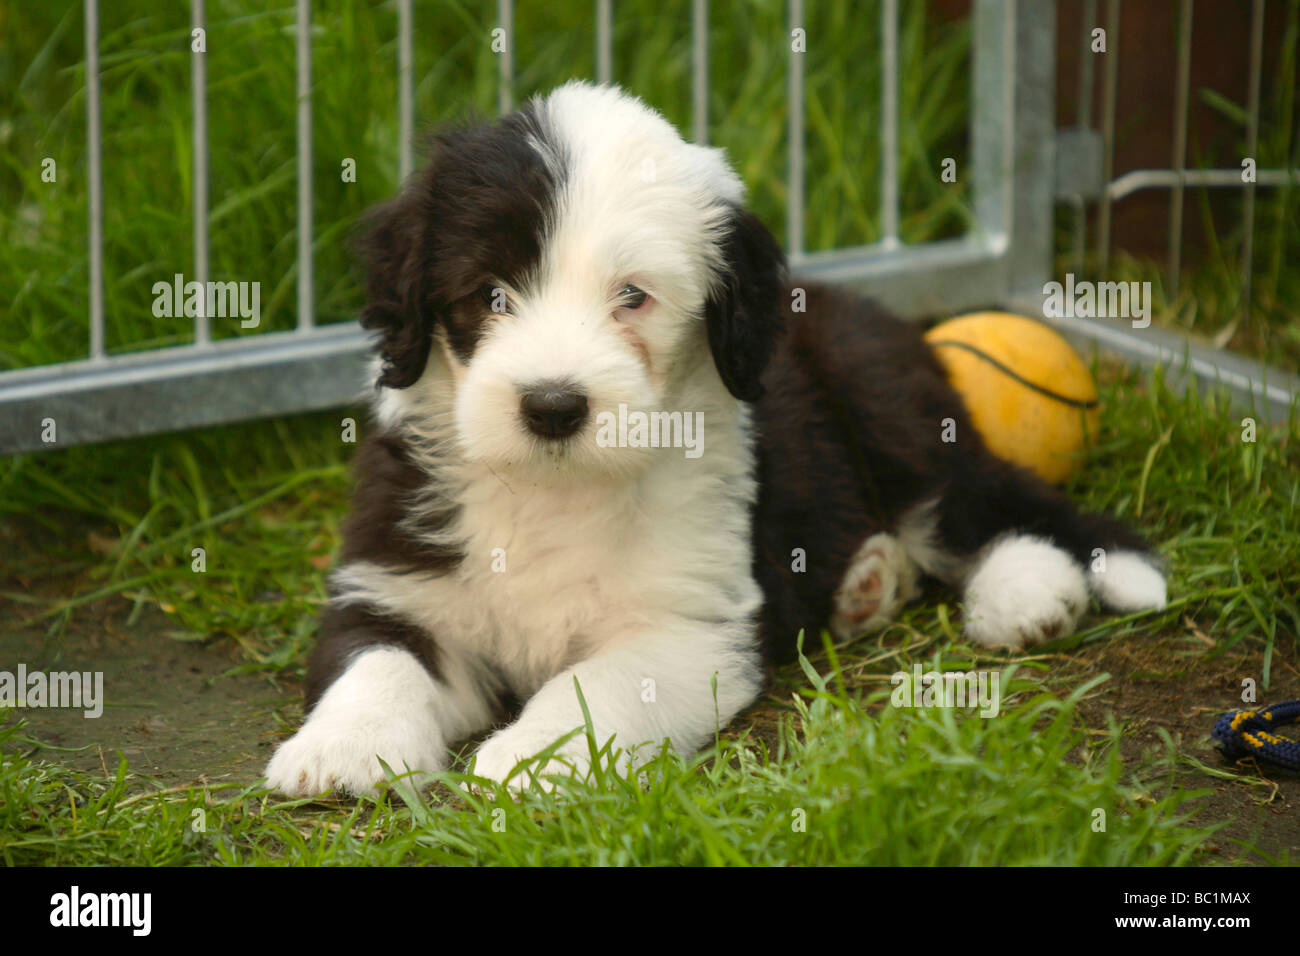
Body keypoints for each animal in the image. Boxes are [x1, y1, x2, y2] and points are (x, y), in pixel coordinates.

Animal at [263, 82, 1170, 801]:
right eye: (487, 293)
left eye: (633, 297)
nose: (552, 405)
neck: (555, 488)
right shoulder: (395, 581)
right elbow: (376, 659)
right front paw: (344, 751)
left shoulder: (690, 623)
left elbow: (594, 684)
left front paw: (533, 761)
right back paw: (868, 585)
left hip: (891, 418)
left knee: (981, 504)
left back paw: (1026, 597)